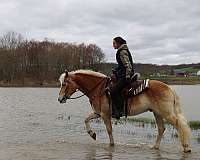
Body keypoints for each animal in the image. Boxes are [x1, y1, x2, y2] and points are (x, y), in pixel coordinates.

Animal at [58, 69, 192, 152]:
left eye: (64, 84)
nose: (60, 99)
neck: (99, 89)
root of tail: (169, 88)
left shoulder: (105, 115)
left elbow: (109, 130)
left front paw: (111, 145)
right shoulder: (98, 113)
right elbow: (86, 120)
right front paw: (92, 134)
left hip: (166, 113)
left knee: (179, 125)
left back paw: (186, 147)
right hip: (157, 113)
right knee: (161, 129)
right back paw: (155, 147)